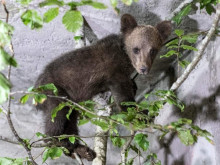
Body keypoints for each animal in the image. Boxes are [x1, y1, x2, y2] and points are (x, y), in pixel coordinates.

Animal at [34, 14, 172, 161]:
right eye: (136, 49)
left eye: (153, 50)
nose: (143, 68)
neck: (125, 59)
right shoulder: (114, 72)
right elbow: (123, 98)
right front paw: (141, 113)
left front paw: (134, 88)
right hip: (55, 91)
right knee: (56, 115)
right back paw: (60, 142)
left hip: (72, 103)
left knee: (71, 121)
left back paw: (82, 150)